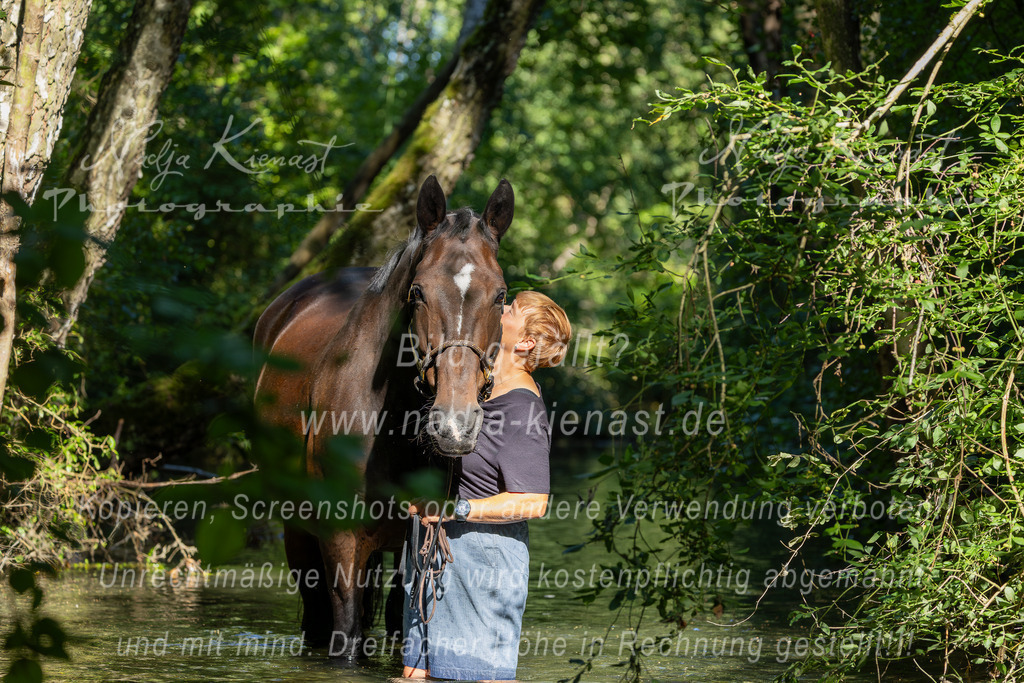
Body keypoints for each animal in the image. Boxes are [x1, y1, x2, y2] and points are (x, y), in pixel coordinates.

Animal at [253, 175, 513, 657]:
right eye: (418, 292)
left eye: (501, 294)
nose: (454, 425)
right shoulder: (340, 544)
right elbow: (346, 634)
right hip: (296, 527)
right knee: (315, 615)